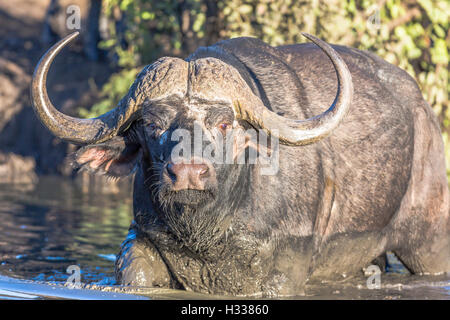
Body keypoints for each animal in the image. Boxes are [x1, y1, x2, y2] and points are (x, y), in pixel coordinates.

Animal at [31, 31, 450, 296]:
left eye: (223, 123)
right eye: (152, 124)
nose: (187, 173)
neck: (208, 234)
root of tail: (423, 112)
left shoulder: (285, 269)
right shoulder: (143, 240)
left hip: (428, 244)